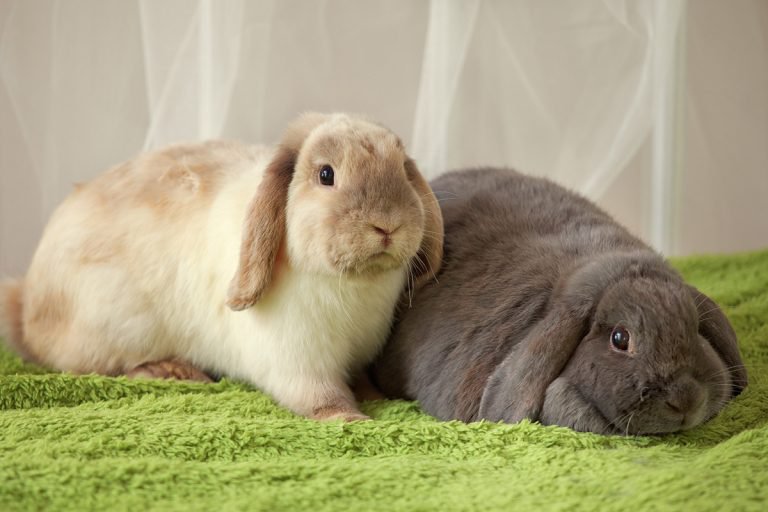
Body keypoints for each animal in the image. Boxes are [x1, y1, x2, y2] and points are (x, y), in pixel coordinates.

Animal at [0, 112, 444, 422]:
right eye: (326, 174)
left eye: (403, 170)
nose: (387, 224)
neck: (354, 286)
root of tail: (27, 303)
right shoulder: (299, 362)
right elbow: (320, 397)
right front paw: (351, 419)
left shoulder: (360, 355)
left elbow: (364, 381)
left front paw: (377, 398)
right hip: (112, 329)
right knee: (106, 368)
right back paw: (174, 371)